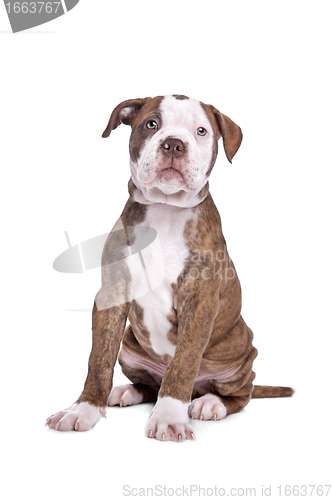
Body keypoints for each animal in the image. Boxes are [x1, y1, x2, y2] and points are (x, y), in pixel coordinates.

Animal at [45, 95, 292, 440]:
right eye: (152, 124)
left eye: (201, 131)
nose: (174, 143)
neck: (165, 210)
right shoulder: (112, 294)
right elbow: (99, 359)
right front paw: (84, 408)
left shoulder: (200, 303)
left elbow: (183, 364)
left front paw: (168, 417)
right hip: (129, 347)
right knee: (149, 384)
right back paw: (126, 391)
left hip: (243, 352)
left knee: (239, 394)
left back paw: (210, 403)